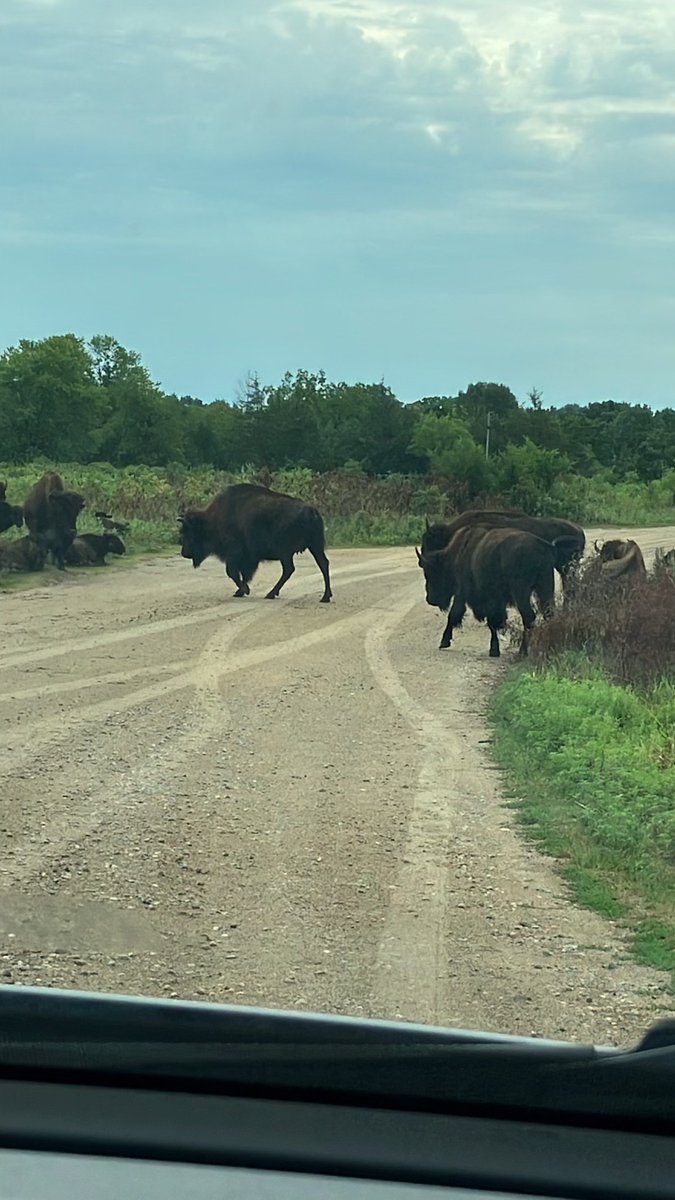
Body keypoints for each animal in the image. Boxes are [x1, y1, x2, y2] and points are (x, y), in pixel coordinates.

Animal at [178, 482, 332, 602]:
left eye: (188, 532)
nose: (184, 553)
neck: (214, 518)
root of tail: (311, 511)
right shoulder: (248, 558)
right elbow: (244, 574)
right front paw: (240, 591)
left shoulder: (235, 553)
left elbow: (232, 572)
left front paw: (244, 590)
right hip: (314, 546)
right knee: (322, 564)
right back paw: (325, 597)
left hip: (287, 552)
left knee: (290, 569)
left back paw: (271, 594)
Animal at [417, 524, 556, 657]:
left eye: (431, 573)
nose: (430, 599)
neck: (459, 553)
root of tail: (540, 545)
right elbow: (494, 621)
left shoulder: (463, 592)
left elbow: (456, 614)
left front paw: (444, 642)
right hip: (545, 587)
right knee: (548, 614)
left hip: (521, 592)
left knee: (528, 616)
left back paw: (523, 651)